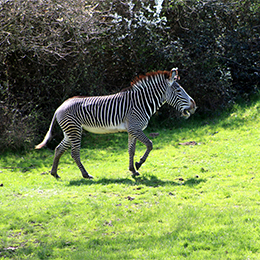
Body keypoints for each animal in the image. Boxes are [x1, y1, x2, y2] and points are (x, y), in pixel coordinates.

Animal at [35, 68, 196, 179]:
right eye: (178, 90)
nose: (194, 106)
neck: (141, 102)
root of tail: (59, 107)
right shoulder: (135, 128)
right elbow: (150, 144)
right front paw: (139, 164)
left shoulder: (132, 130)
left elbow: (131, 150)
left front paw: (133, 170)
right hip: (74, 130)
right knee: (74, 153)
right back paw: (86, 175)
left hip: (70, 131)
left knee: (58, 149)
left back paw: (54, 173)